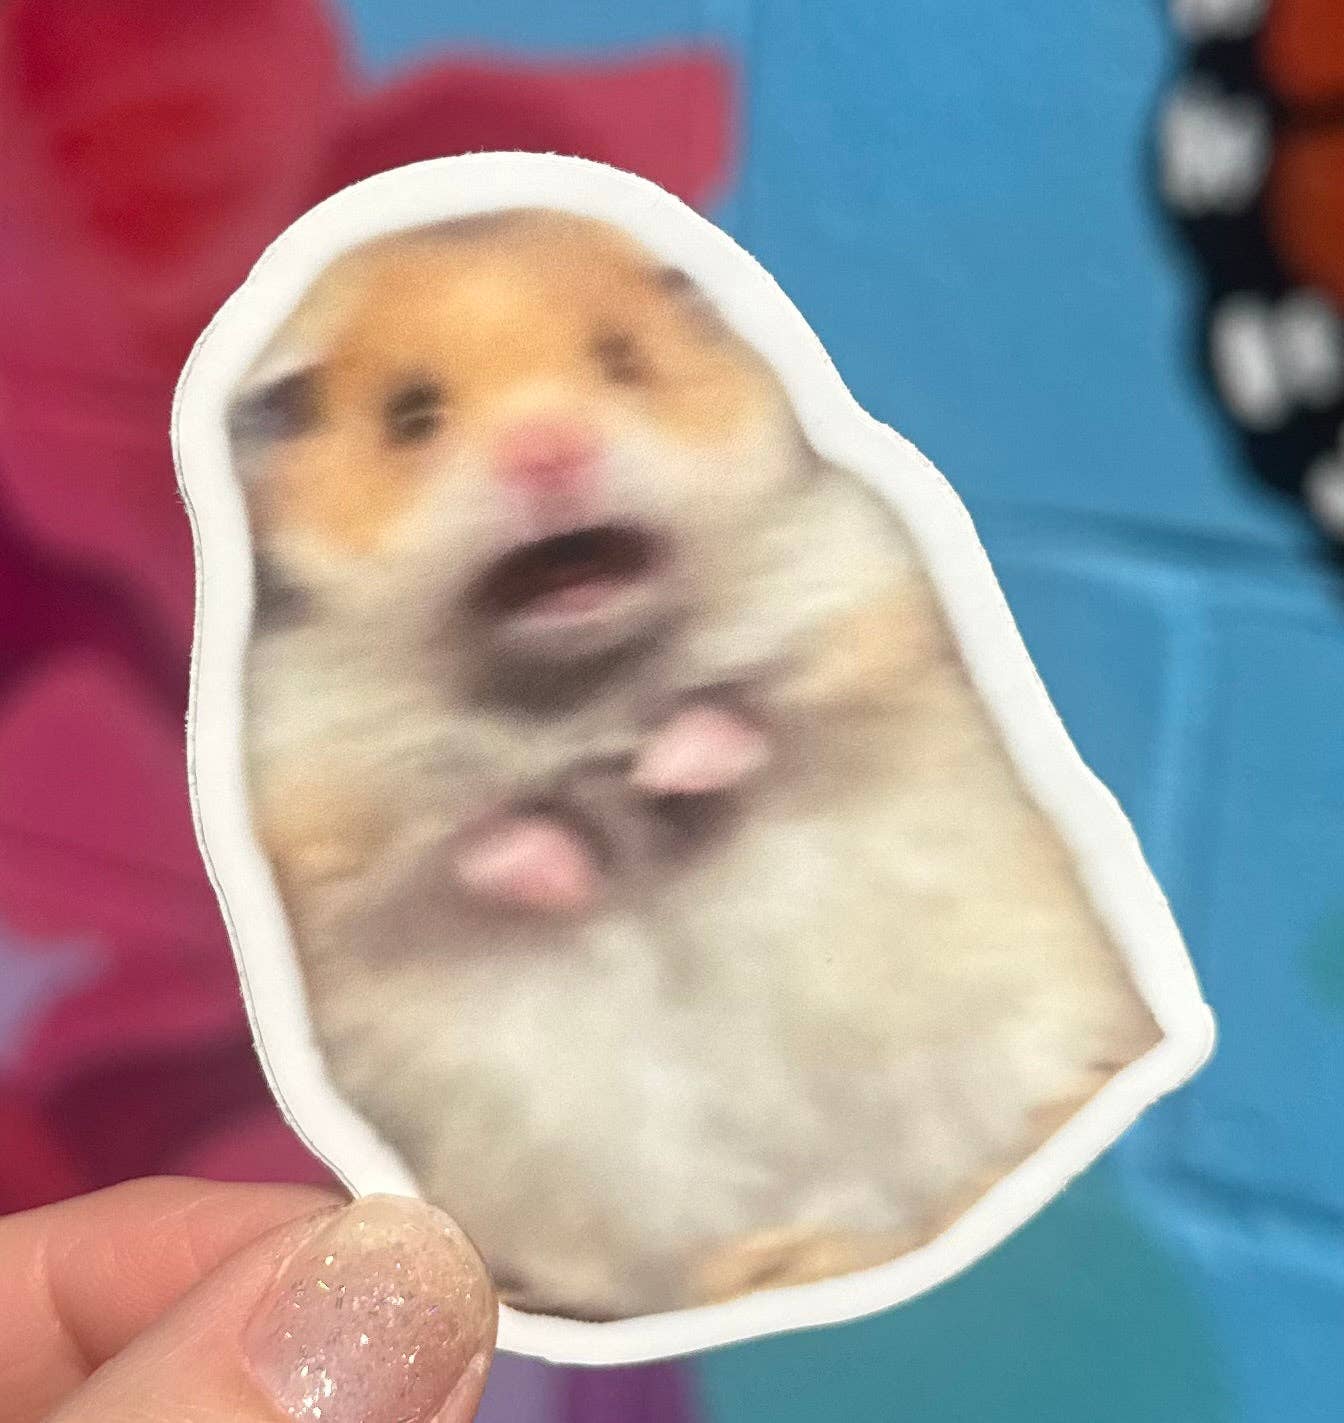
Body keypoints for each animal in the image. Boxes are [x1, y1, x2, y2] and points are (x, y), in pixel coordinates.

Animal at [232, 209, 1161, 1321]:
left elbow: (752, 714)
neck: (581, 679)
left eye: (623, 362)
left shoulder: (860, 602)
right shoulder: (314, 786)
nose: (551, 452)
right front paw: (573, 864)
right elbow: (476, 840)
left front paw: (666, 774)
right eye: (410, 416)